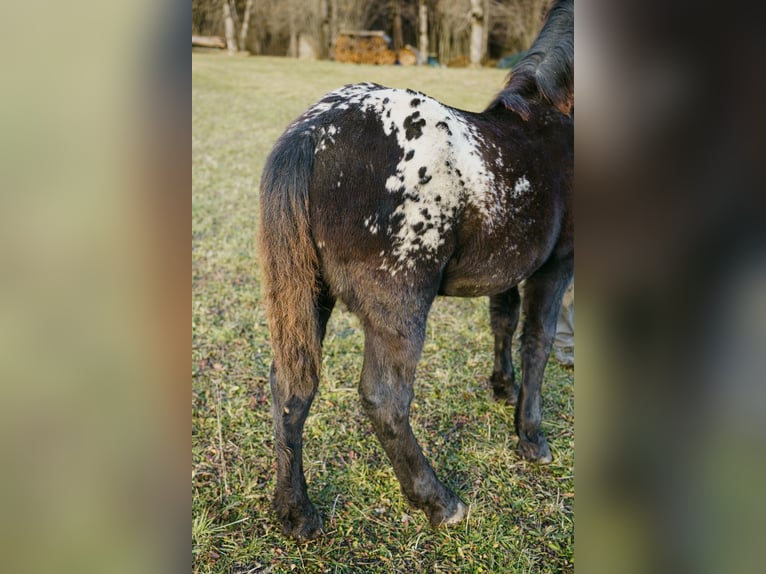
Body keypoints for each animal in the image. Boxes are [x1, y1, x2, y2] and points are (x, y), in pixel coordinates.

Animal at [260, 0, 572, 540]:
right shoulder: (556, 266)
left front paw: (503, 388)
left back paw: (297, 513)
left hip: (311, 296)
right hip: (400, 307)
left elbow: (503, 322)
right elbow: (538, 342)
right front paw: (531, 437)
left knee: (291, 389)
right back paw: (439, 501)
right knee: (385, 399)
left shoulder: (509, 267)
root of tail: (311, 133)